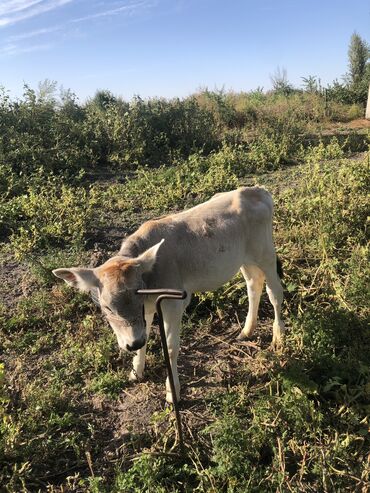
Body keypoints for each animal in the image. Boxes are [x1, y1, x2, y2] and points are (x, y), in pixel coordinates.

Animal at [52, 186, 284, 402]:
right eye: (107, 307)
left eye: (137, 296)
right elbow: (145, 337)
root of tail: (255, 190)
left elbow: (171, 347)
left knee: (274, 292)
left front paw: (173, 392)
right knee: (253, 284)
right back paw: (246, 330)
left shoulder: (173, 304)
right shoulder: (147, 311)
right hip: (244, 260)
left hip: (266, 253)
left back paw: (279, 338)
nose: (132, 344)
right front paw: (136, 371)